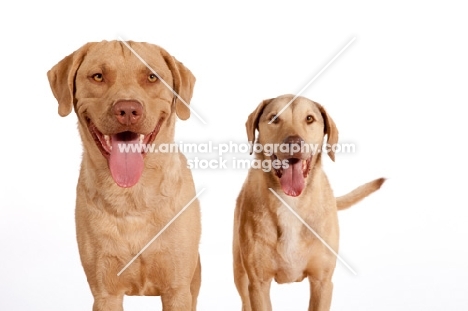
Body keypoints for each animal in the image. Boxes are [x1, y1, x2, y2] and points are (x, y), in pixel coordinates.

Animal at [47, 40, 201, 310]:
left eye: (152, 77)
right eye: (98, 76)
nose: (128, 109)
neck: (132, 197)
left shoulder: (177, 290)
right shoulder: (105, 293)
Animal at [233, 95, 384, 311]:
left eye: (310, 118)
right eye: (274, 118)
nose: (294, 143)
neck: (291, 202)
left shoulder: (322, 282)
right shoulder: (258, 284)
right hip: (240, 274)